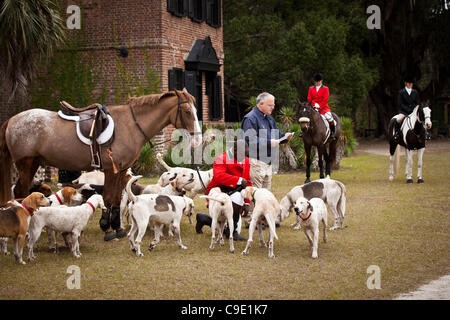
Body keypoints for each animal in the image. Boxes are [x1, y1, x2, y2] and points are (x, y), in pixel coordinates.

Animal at [0, 87, 200, 238]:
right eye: (187, 112)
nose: (197, 140)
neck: (130, 126)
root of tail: (11, 120)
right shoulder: (111, 170)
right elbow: (109, 198)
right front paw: (108, 228)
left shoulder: (122, 170)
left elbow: (117, 198)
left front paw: (117, 227)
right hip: (27, 165)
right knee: (21, 192)